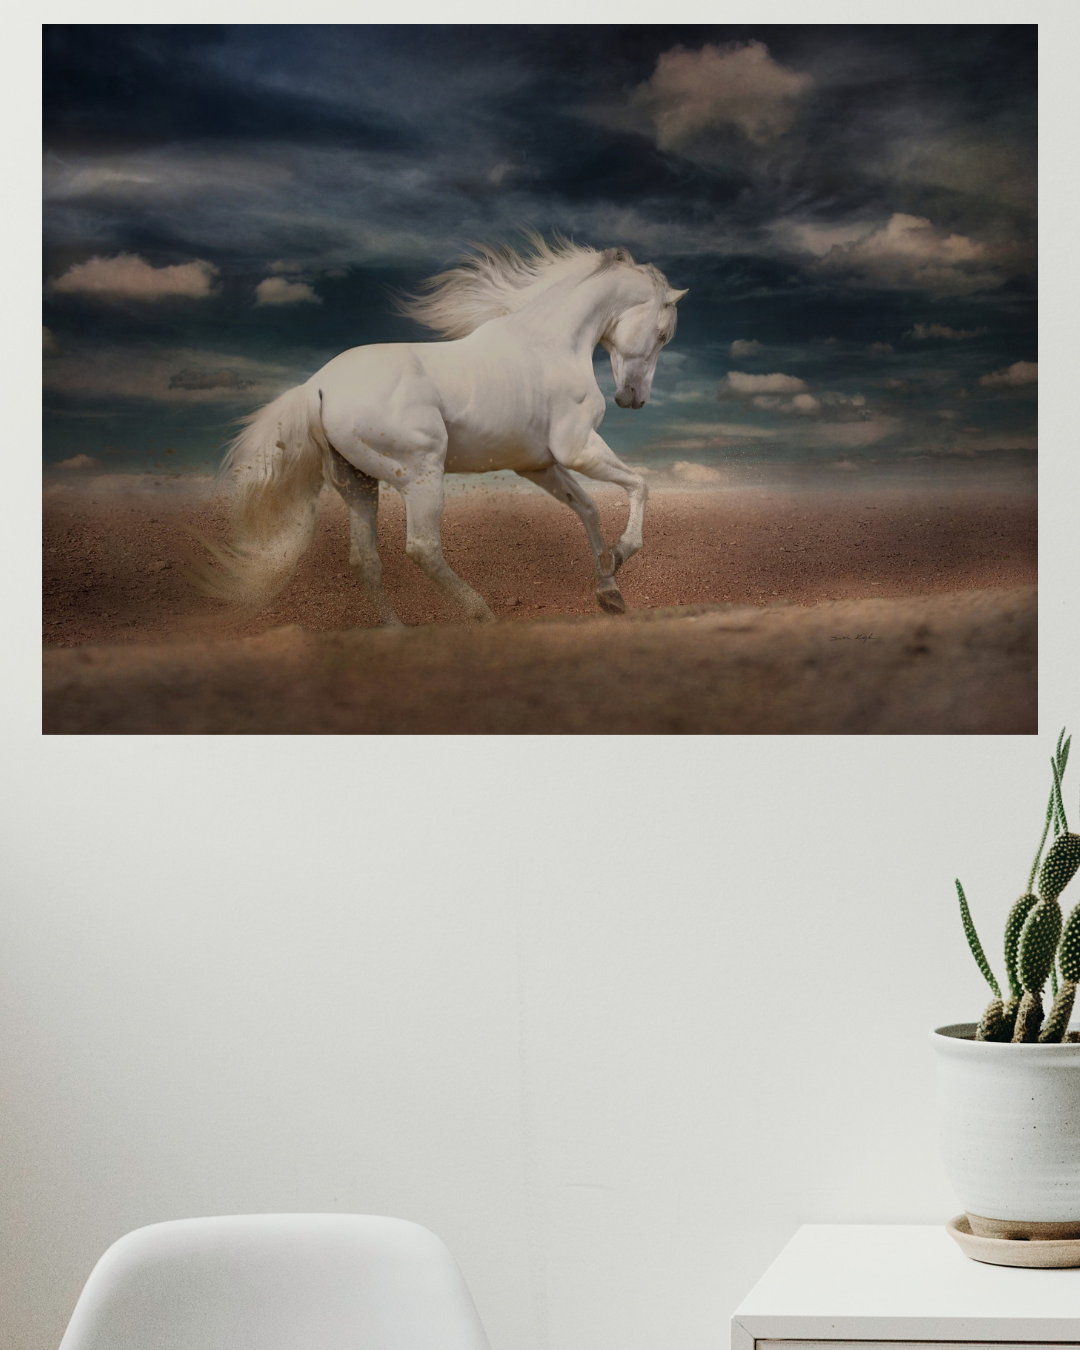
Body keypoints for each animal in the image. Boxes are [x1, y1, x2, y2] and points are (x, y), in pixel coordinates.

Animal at [194, 236, 687, 624]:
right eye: (664, 334)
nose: (632, 398)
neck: (552, 343)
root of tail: (316, 386)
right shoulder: (577, 449)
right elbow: (640, 485)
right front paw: (620, 555)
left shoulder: (538, 465)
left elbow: (587, 508)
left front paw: (609, 590)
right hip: (421, 474)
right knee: (423, 548)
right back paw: (482, 614)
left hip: (358, 484)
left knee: (365, 560)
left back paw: (397, 633)